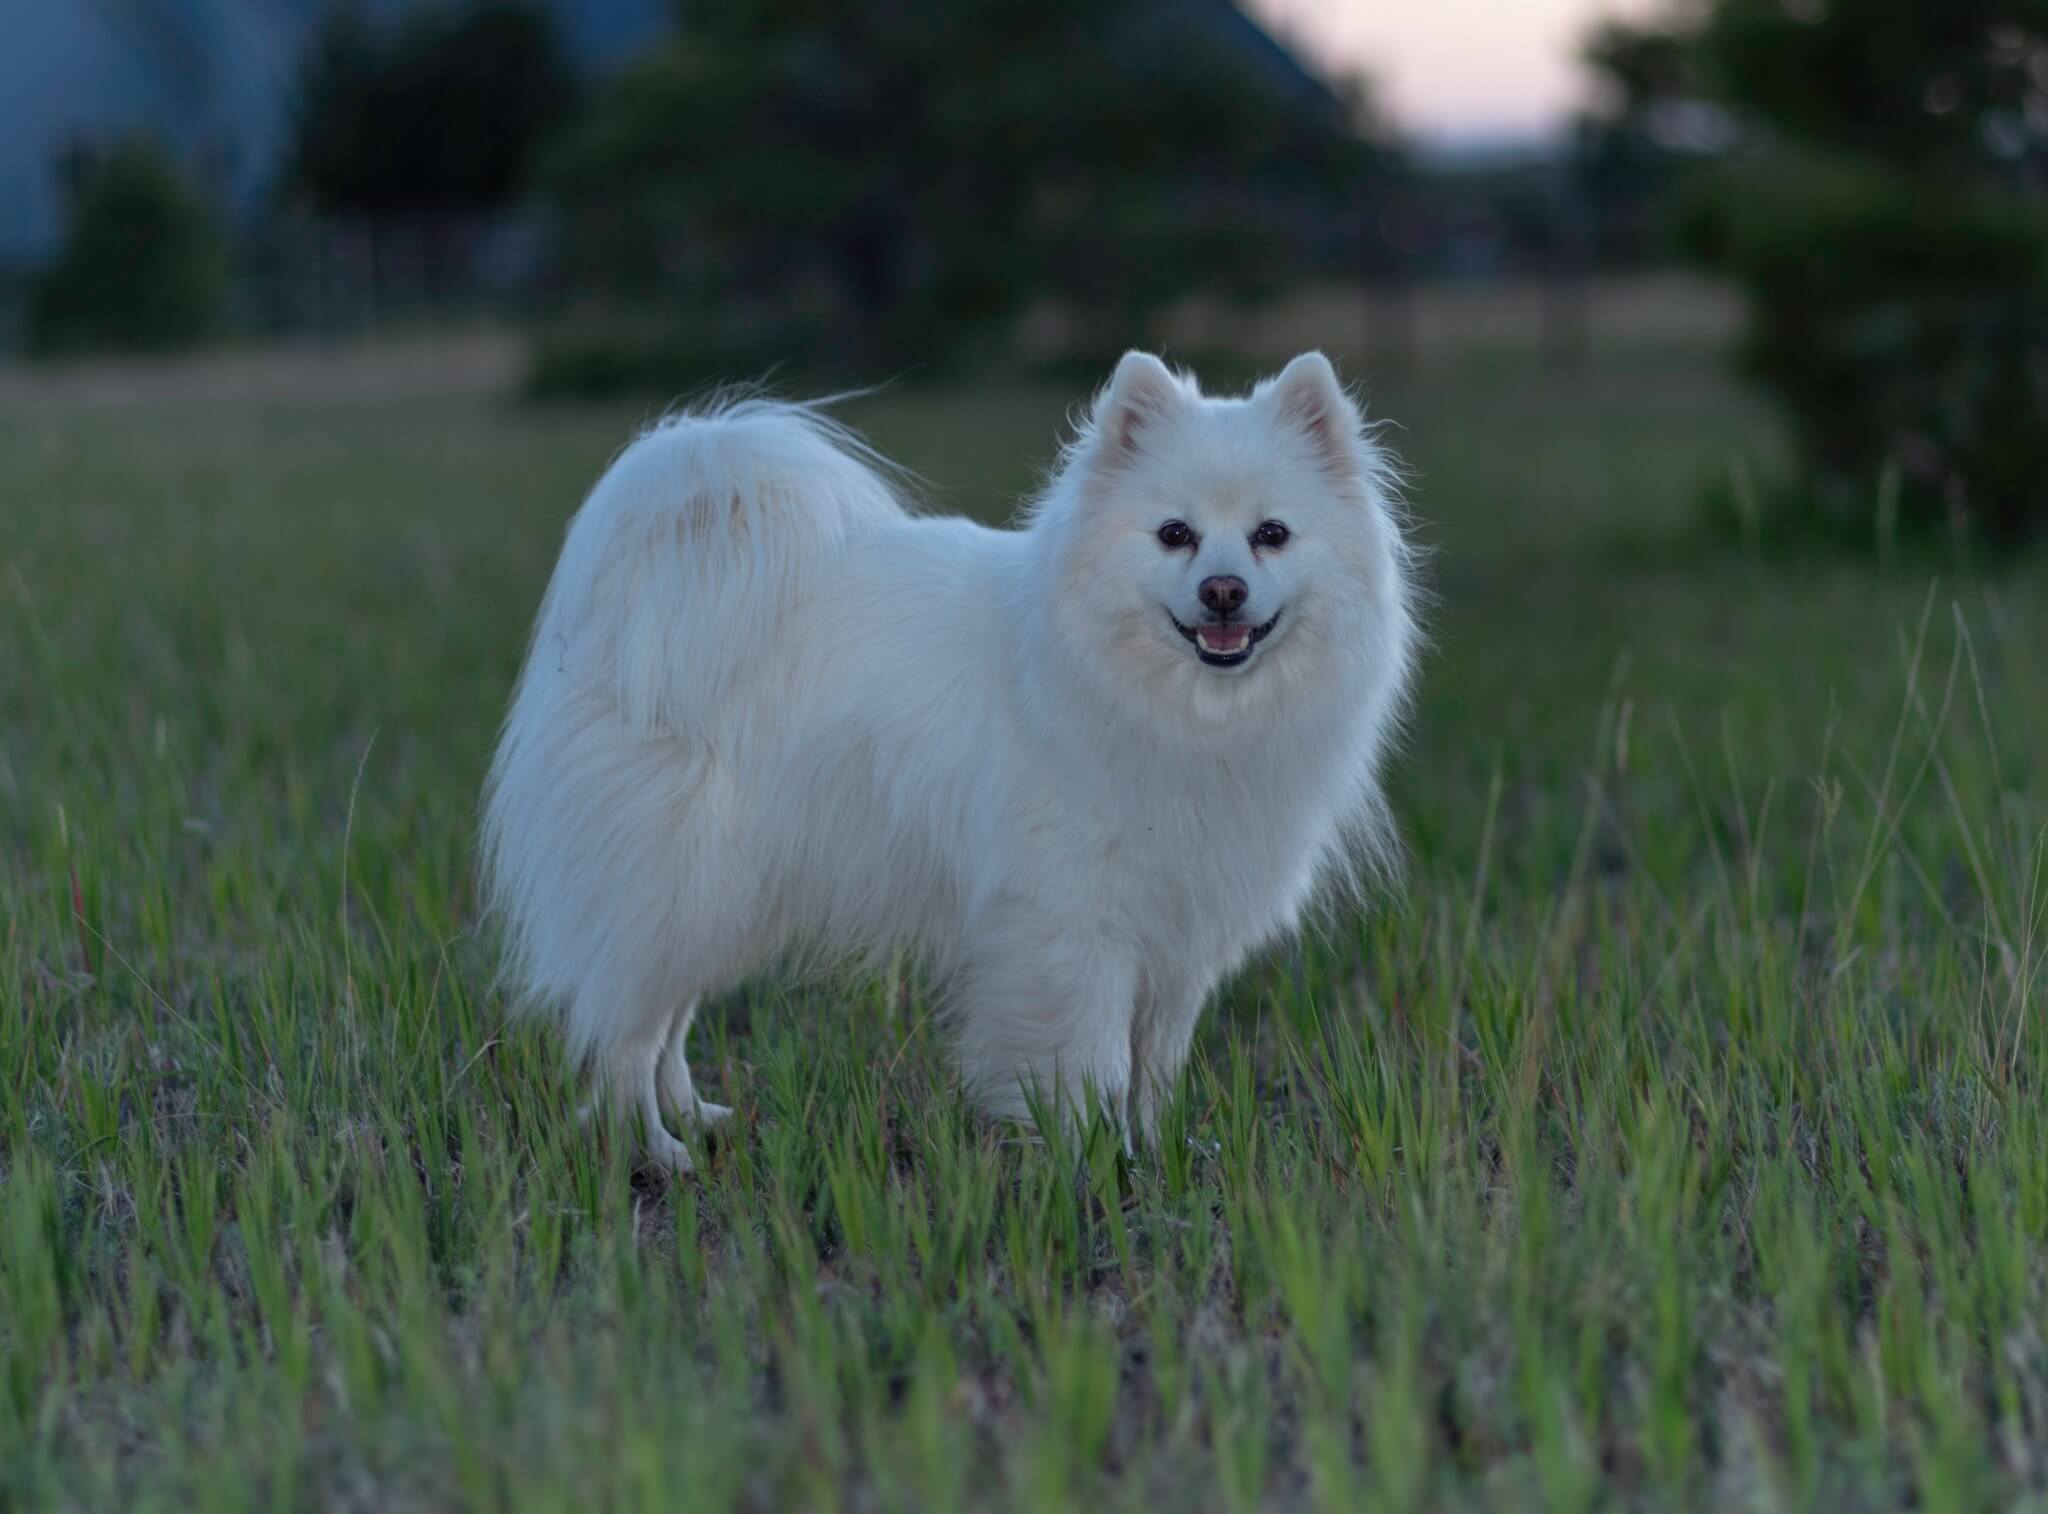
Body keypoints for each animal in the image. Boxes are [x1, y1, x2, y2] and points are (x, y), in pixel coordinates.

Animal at [483, 350, 1409, 1163]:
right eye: (1174, 535)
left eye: (1272, 535)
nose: (1224, 591)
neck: (1180, 713)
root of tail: (631, 610)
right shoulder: (1075, 929)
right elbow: (1093, 1064)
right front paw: (1091, 1164)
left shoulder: (1180, 936)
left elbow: (1154, 1068)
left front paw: (1160, 1153)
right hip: (686, 883)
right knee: (626, 1036)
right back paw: (653, 1151)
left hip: (724, 899)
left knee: (666, 1018)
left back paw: (695, 1117)